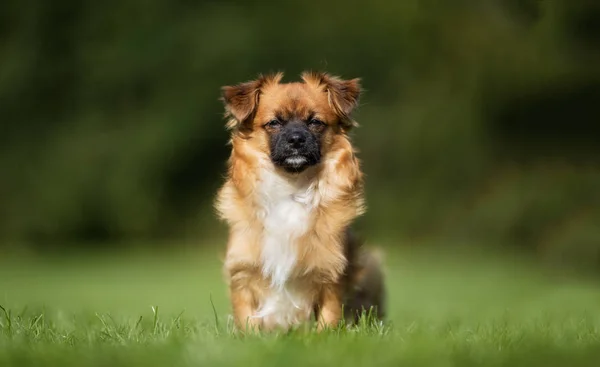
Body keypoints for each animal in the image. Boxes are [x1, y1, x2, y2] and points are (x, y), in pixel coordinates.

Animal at [216, 72, 384, 334]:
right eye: (274, 123)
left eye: (315, 122)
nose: (296, 139)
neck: (292, 185)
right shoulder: (242, 272)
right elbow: (247, 321)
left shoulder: (331, 274)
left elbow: (329, 317)